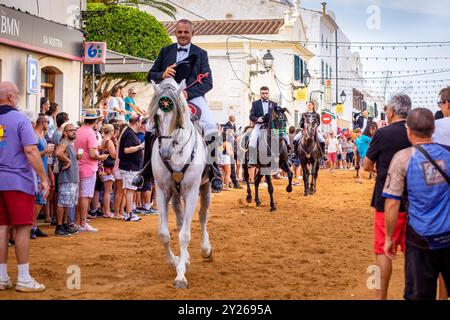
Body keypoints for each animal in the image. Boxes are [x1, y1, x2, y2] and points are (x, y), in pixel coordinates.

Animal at [147, 78, 212, 290]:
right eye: (156, 116)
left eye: (177, 116)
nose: (165, 152)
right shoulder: (161, 191)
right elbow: (164, 234)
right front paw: (176, 261)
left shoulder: (191, 192)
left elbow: (185, 234)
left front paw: (181, 277)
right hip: (176, 194)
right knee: (180, 218)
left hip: (205, 189)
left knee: (202, 217)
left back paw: (206, 249)